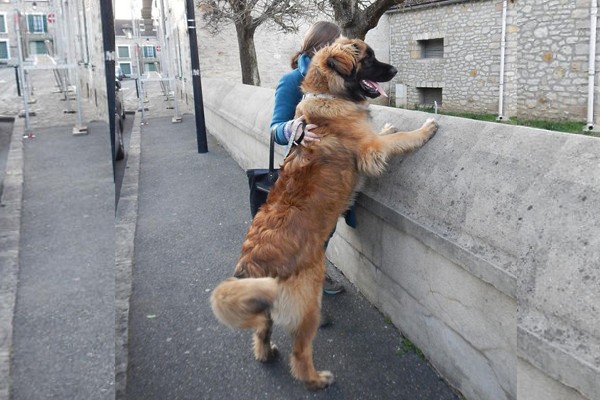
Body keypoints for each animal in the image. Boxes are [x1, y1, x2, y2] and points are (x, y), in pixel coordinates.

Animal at [210, 38, 436, 390]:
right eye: (369, 58)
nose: (396, 69)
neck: (330, 94)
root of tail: (254, 263)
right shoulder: (371, 150)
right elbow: (398, 140)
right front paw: (425, 128)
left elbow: (386, 133)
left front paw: (388, 123)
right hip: (307, 306)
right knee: (300, 354)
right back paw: (316, 379)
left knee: (261, 332)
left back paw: (267, 353)